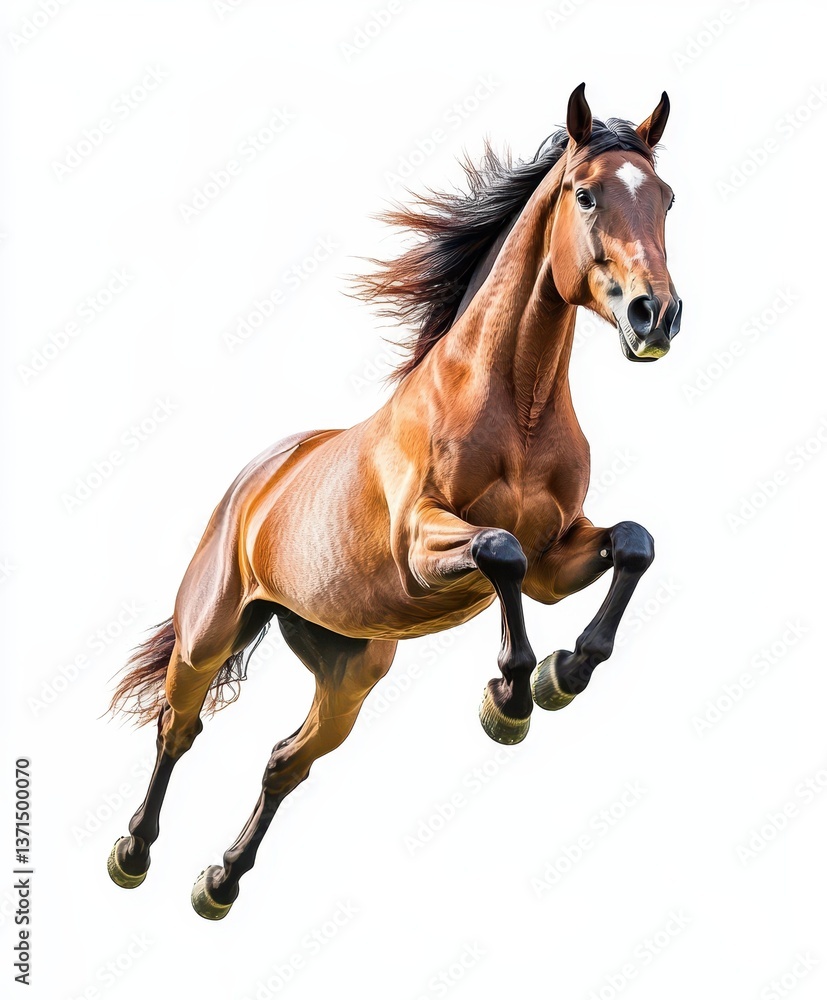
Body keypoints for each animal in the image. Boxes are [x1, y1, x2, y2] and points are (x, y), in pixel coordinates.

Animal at [106, 83, 682, 920]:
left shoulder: (557, 558)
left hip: (347, 665)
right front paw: (510, 697)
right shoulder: (423, 545)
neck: (516, 407)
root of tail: (257, 478)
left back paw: (219, 882)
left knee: (284, 761)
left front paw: (563, 673)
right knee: (177, 728)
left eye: (665, 197)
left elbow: (633, 541)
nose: (655, 316)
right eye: (585, 194)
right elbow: (498, 550)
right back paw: (133, 854)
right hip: (208, 631)